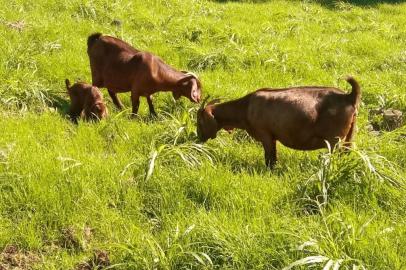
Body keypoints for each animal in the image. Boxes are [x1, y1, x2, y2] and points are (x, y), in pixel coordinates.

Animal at [198, 76, 360, 169]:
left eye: (199, 120)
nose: (198, 138)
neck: (246, 106)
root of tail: (349, 96)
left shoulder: (265, 135)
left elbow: (270, 157)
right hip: (348, 138)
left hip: (334, 140)